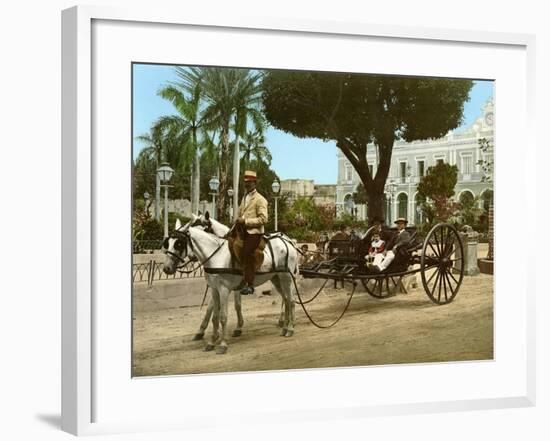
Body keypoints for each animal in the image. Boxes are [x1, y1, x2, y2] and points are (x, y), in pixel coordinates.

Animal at [163, 218, 300, 352]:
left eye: (179, 244)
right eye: (167, 243)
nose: (166, 268)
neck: (217, 257)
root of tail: (288, 241)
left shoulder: (224, 290)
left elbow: (224, 315)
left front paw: (223, 343)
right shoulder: (214, 289)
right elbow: (215, 315)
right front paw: (211, 341)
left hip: (287, 277)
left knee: (291, 300)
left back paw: (290, 328)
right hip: (276, 278)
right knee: (286, 299)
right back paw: (285, 326)